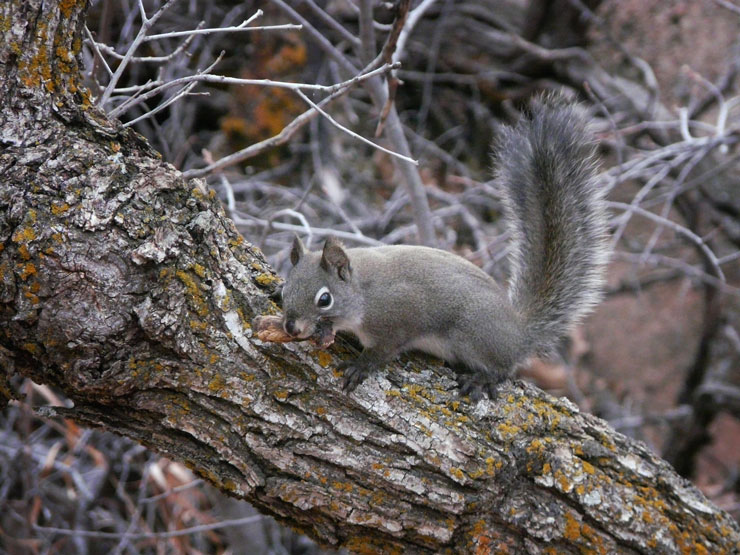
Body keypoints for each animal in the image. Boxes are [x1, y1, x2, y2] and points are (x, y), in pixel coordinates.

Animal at [278, 96, 608, 400]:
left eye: (324, 299)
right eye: (284, 289)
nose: (291, 327)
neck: (363, 292)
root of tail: (519, 332)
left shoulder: (398, 317)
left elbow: (385, 349)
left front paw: (361, 366)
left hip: (474, 335)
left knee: (503, 368)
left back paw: (482, 379)